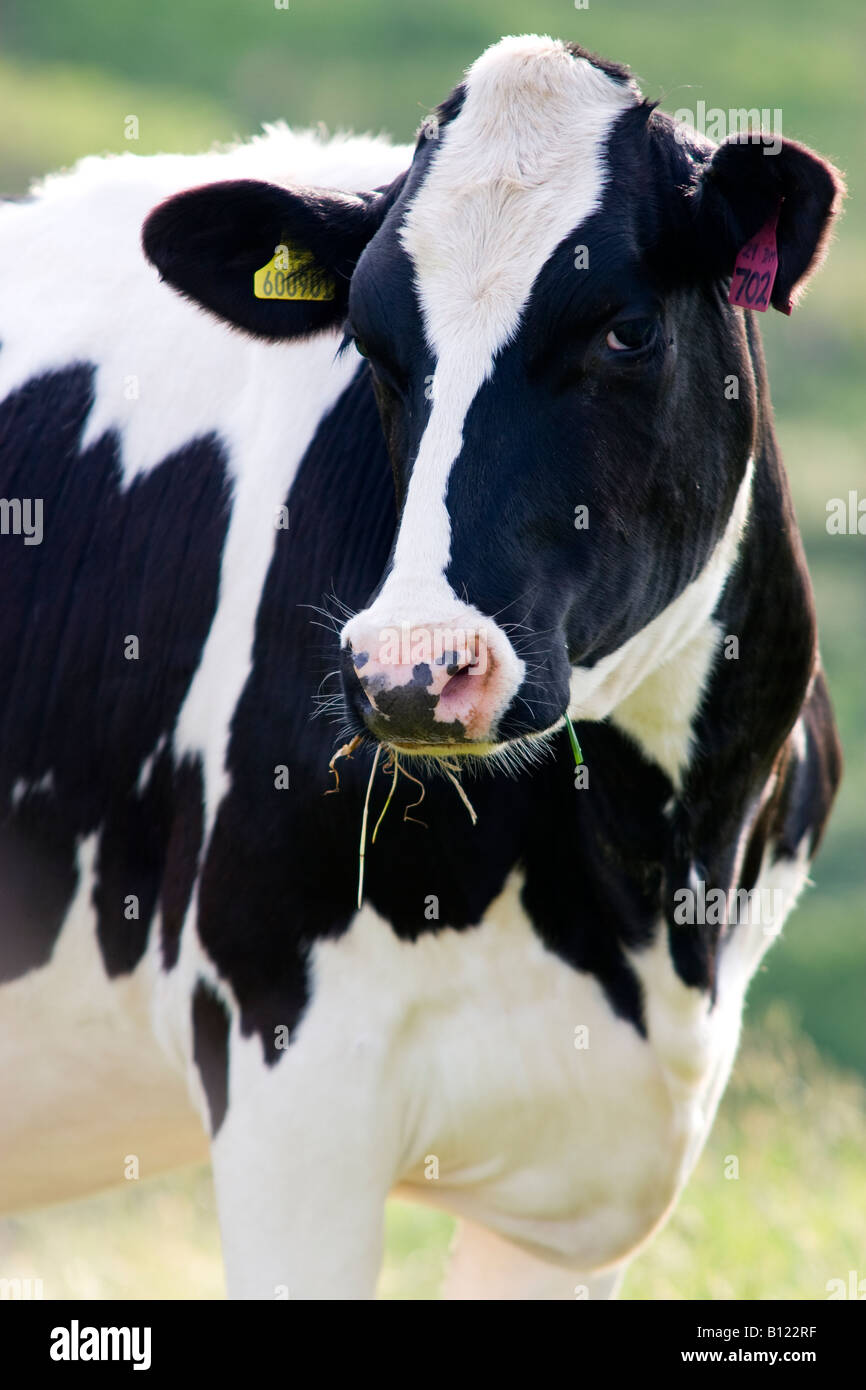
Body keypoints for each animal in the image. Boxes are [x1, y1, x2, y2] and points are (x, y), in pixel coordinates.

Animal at [0, 35, 843, 1300]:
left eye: (624, 329)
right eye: (369, 340)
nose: (408, 667)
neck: (648, 886)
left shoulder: (582, 1185)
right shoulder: (288, 1091)